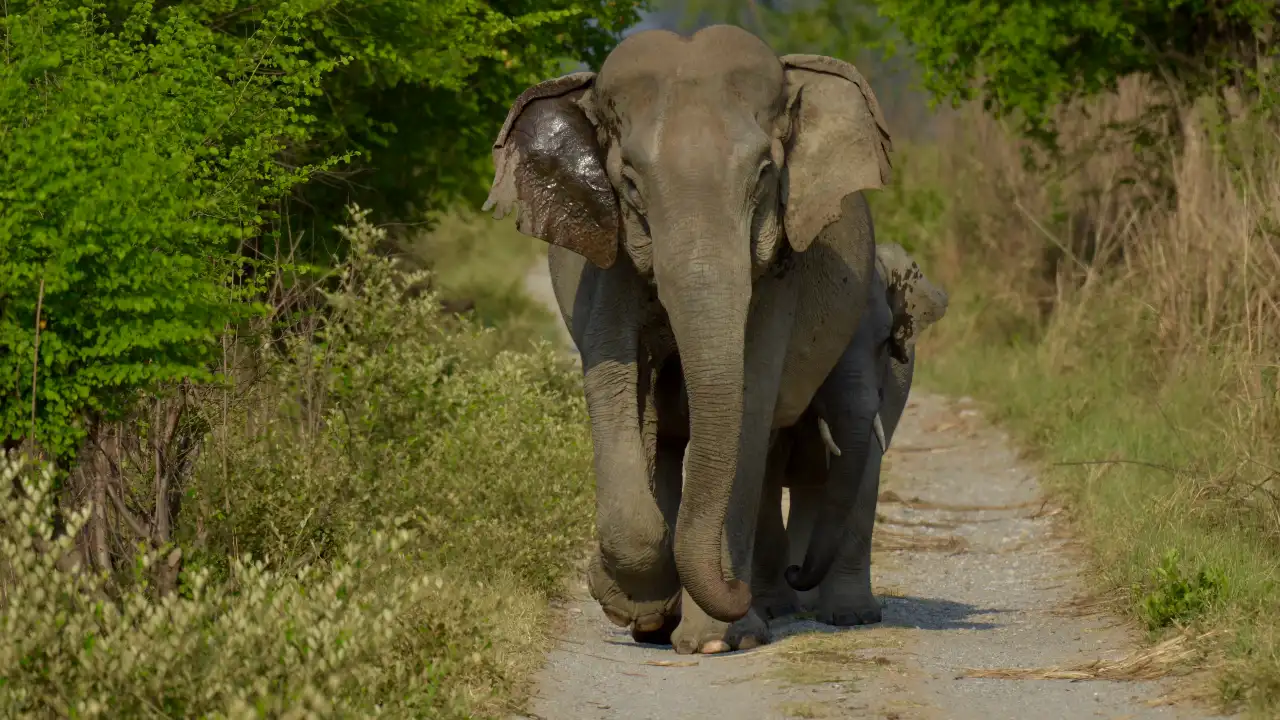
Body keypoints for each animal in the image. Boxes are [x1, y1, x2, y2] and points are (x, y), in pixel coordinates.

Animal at [483, 23, 896, 650]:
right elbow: (614, 380)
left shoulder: (779, 276)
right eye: (630, 182)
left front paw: (717, 639)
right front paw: (635, 602)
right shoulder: (611, 259)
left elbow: (749, 398)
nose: (747, 591)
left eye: (764, 175)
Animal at [747, 240, 952, 622]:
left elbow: (865, 469)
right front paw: (773, 610)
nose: (794, 573)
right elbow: (764, 475)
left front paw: (854, 617)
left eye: (885, 341)